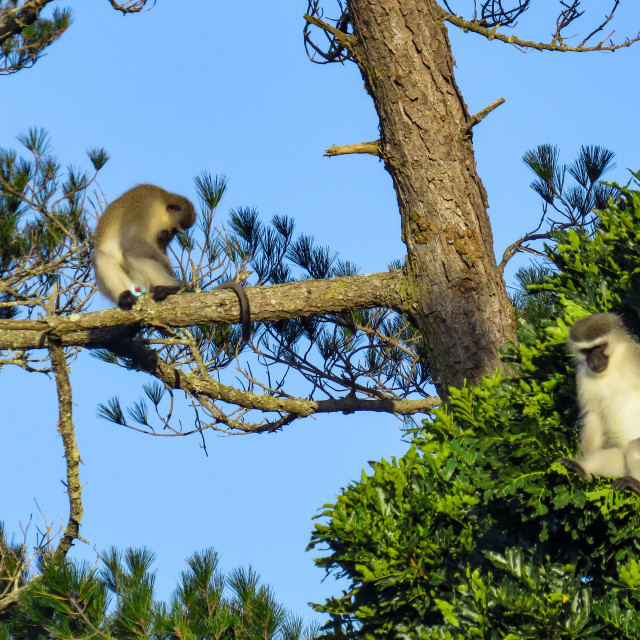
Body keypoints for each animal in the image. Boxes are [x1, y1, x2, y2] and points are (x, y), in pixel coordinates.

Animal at [94, 182, 251, 342]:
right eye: (176, 229)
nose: (170, 235)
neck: (160, 204)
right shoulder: (145, 207)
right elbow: (132, 241)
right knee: (120, 254)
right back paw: (135, 294)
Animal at [564, 312, 640, 492]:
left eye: (599, 347)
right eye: (586, 351)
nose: (594, 360)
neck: (612, 364)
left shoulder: (635, 356)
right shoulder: (583, 373)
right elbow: (594, 415)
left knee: (635, 446)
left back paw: (636, 483)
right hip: (621, 463)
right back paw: (581, 469)